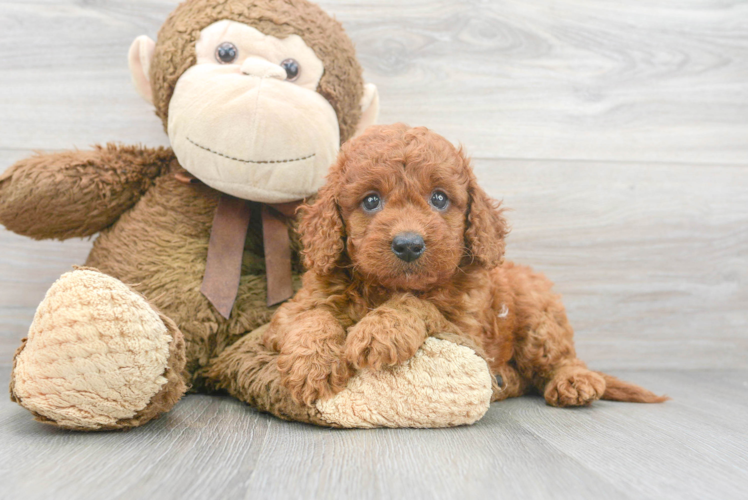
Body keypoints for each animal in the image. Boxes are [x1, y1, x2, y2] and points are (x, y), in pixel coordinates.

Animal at [262, 123, 668, 408]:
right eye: (371, 200)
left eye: (439, 198)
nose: (408, 244)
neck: (386, 286)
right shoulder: (292, 310)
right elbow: (311, 318)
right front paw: (313, 366)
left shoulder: (466, 331)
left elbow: (417, 304)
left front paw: (380, 331)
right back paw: (506, 382)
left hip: (540, 318)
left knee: (561, 358)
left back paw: (573, 381)